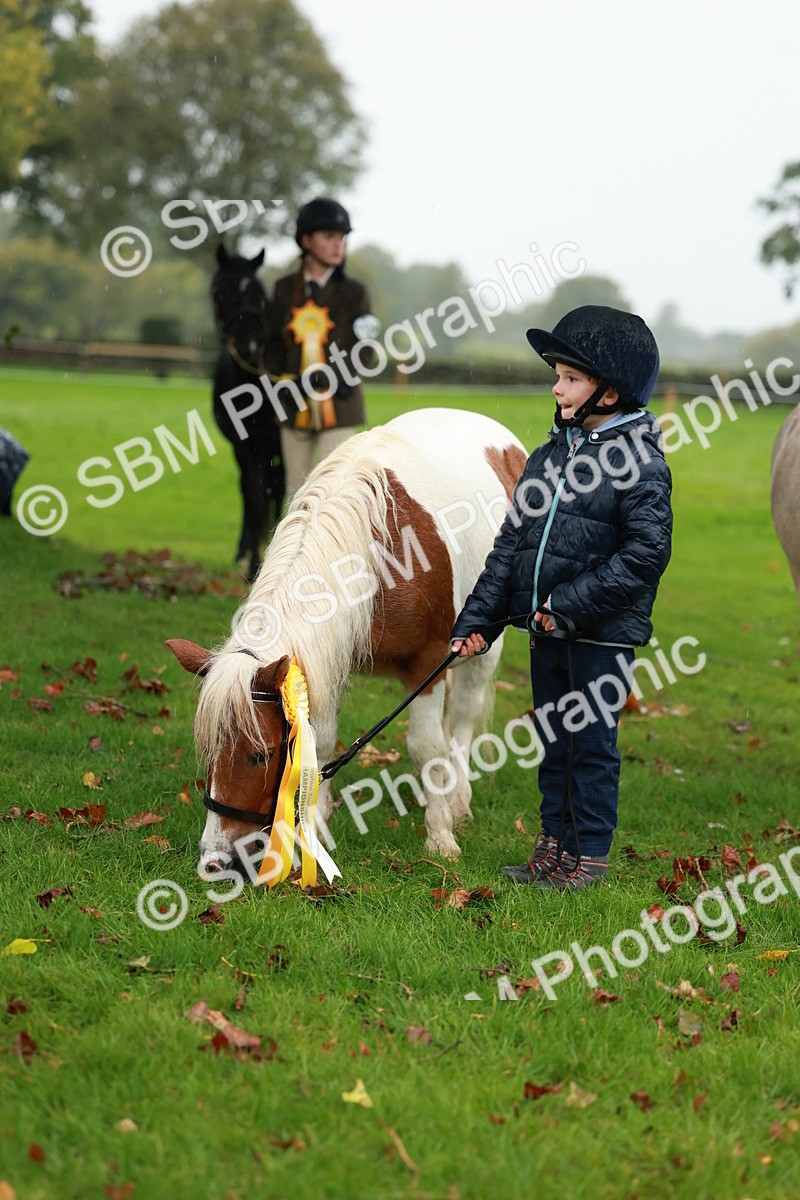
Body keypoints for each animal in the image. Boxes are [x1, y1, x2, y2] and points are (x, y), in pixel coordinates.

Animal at [167, 407, 528, 879]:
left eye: (261, 754)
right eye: (208, 752)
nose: (215, 861)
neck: (379, 558)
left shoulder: (427, 662)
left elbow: (426, 747)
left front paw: (440, 836)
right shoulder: (328, 663)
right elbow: (320, 744)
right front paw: (316, 830)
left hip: (482, 650)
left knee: (464, 717)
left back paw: (458, 799)